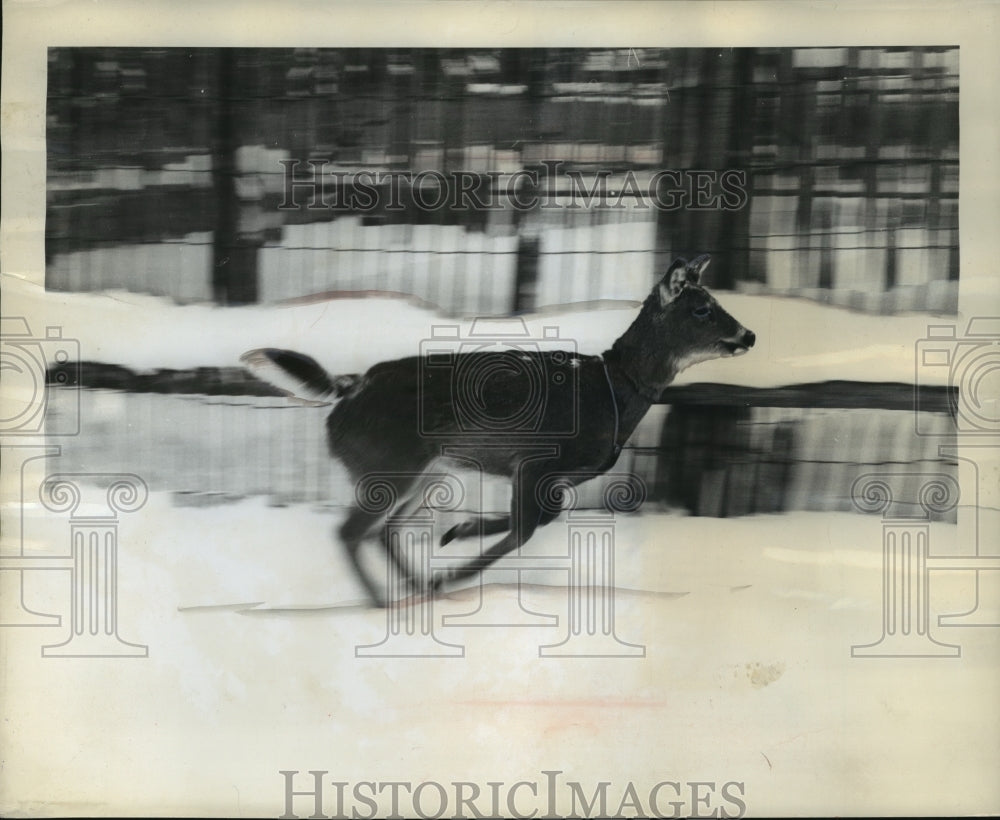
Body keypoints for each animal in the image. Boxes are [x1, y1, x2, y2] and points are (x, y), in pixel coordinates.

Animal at [244, 253, 756, 604]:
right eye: (702, 309)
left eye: (715, 302)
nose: (749, 334)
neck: (613, 391)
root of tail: (347, 389)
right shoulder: (534, 462)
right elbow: (526, 530)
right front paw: (455, 563)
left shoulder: (546, 475)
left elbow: (542, 519)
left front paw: (456, 536)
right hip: (389, 463)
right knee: (350, 532)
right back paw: (387, 601)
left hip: (428, 469)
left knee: (382, 531)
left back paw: (418, 588)